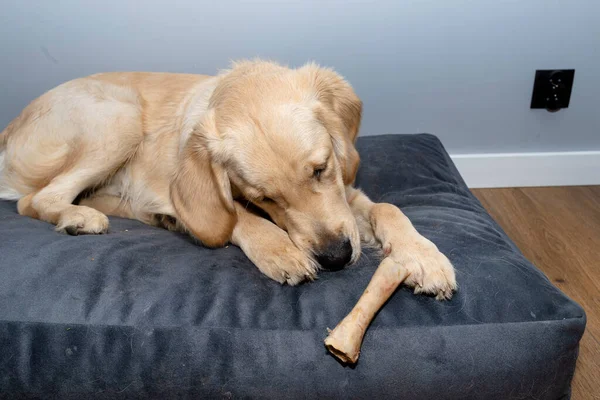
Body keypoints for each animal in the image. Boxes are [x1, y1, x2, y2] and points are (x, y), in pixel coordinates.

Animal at [0, 58, 454, 296]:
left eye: (321, 168)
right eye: (265, 198)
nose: (335, 258)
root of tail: (10, 126)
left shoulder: (346, 193)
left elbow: (389, 208)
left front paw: (423, 256)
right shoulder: (190, 195)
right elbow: (235, 217)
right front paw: (279, 249)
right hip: (119, 116)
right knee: (33, 200)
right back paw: (80, 218)